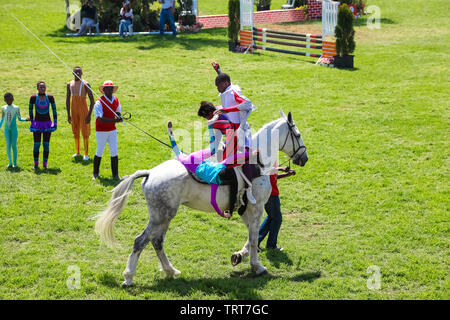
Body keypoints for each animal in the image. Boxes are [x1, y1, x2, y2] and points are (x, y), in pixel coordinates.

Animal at [93, 110, 308, 288]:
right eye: (297, 135)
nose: (304, 158)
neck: (258, 161)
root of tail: (150, 173)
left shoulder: (245, 210)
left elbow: (250, 238)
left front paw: (239, 256)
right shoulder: (256, 208)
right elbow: (254, 239)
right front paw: (257, 266)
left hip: (164, 216)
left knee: (157, 242)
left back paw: (170, 270)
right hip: (161, 216)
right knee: (141, 241)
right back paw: (129, 277)